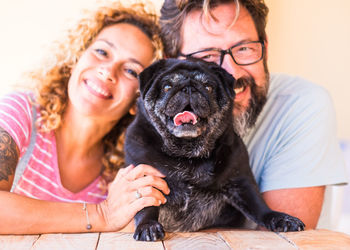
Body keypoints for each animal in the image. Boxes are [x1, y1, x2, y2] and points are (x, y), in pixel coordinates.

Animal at [125, 57, 304, 241]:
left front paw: (279, 218)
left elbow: (258, 206)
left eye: (208, 87)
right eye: (167, 87)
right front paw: (148, 226)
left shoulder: (241, 182)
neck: (187, 155)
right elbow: (146, 207)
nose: (188, 88)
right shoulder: (145, 179)